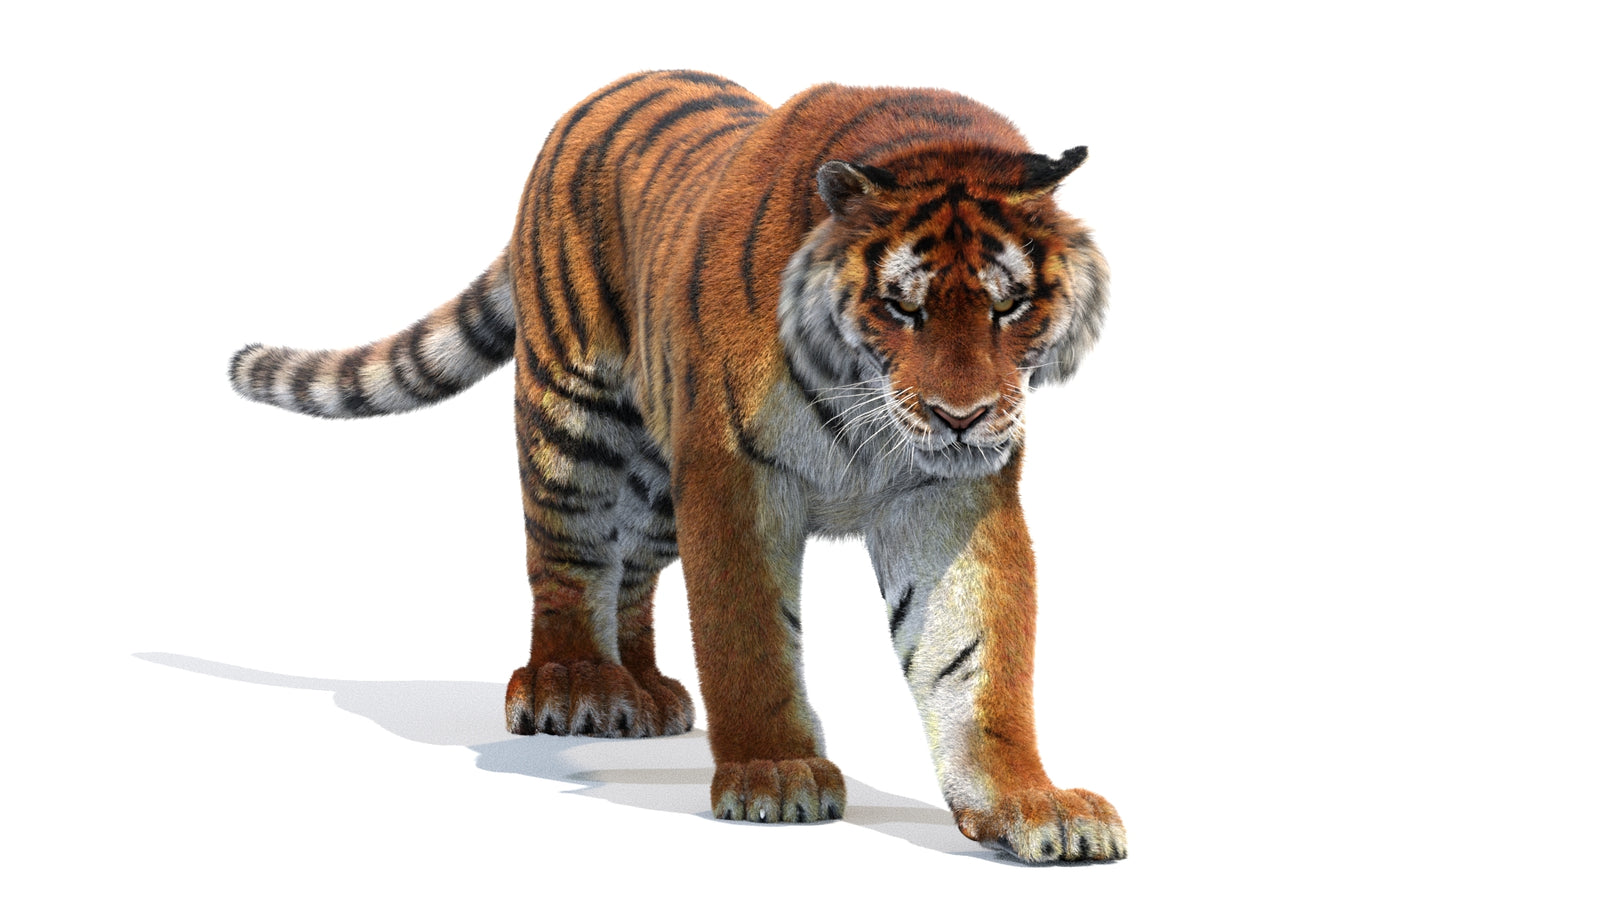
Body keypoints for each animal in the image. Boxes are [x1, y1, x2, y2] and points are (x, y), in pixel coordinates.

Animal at [229, 70, 1123, 863]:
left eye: (1009, 305)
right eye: (903, 307)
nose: (960, 416)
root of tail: (609, 90)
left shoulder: (948, 496)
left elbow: (975, 661)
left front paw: (1030, 804)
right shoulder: (735, 477)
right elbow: (747, 635)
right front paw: (774, 773)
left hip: (662, 482)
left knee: (630, 575)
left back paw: (644, 691)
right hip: (575, 421)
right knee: (567, 561)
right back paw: (574, 685)